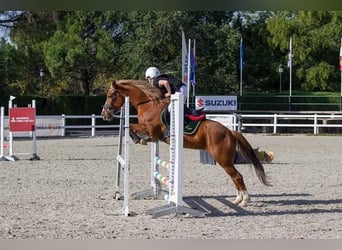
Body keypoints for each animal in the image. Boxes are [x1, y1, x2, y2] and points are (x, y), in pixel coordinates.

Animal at [100, 79, 272, 206]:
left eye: (111, 95)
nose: (104, 114)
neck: (148, 104)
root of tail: (230, 132)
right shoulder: (150, 132)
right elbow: (132, 127)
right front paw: (141, 139)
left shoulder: (150, 129)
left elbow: (130, 126)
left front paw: (138, 139)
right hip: (224, 160)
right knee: (235, 177)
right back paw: (237, 199)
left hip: (222, 159)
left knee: (237, 176)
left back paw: (244, 200)